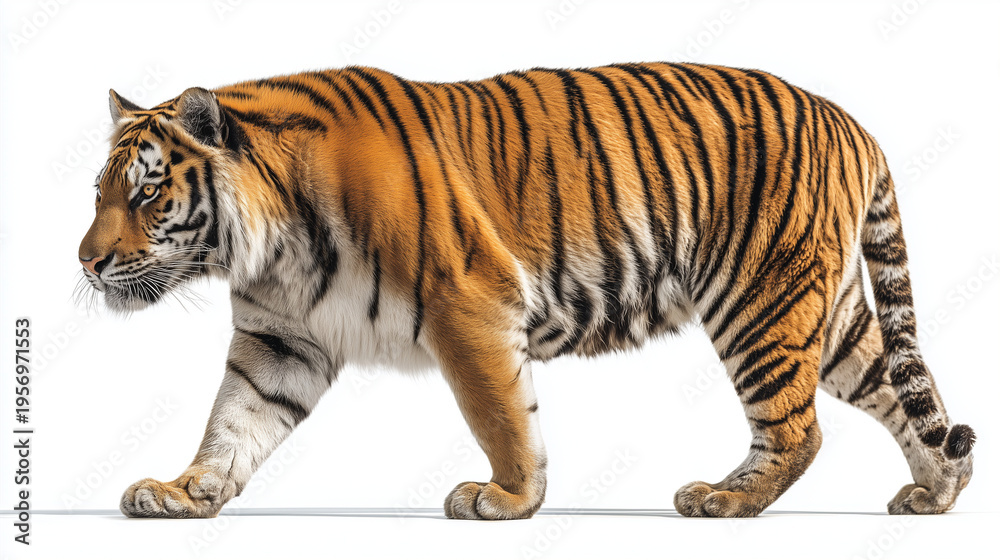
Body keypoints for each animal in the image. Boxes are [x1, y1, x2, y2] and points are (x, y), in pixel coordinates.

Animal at [78, 62, 975, 519]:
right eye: (99, 192)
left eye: (148, 194)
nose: (85, 263)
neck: (271, 248)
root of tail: (851, 120)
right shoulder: (280, 338)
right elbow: (233, 422)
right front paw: (184, 492)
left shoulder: (467, 302)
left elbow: (500, 412)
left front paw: (507, 498)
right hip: (827, 313)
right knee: (900, 389)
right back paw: (937, 491)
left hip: (762, 300)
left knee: (798, 430)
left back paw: (724, 500)